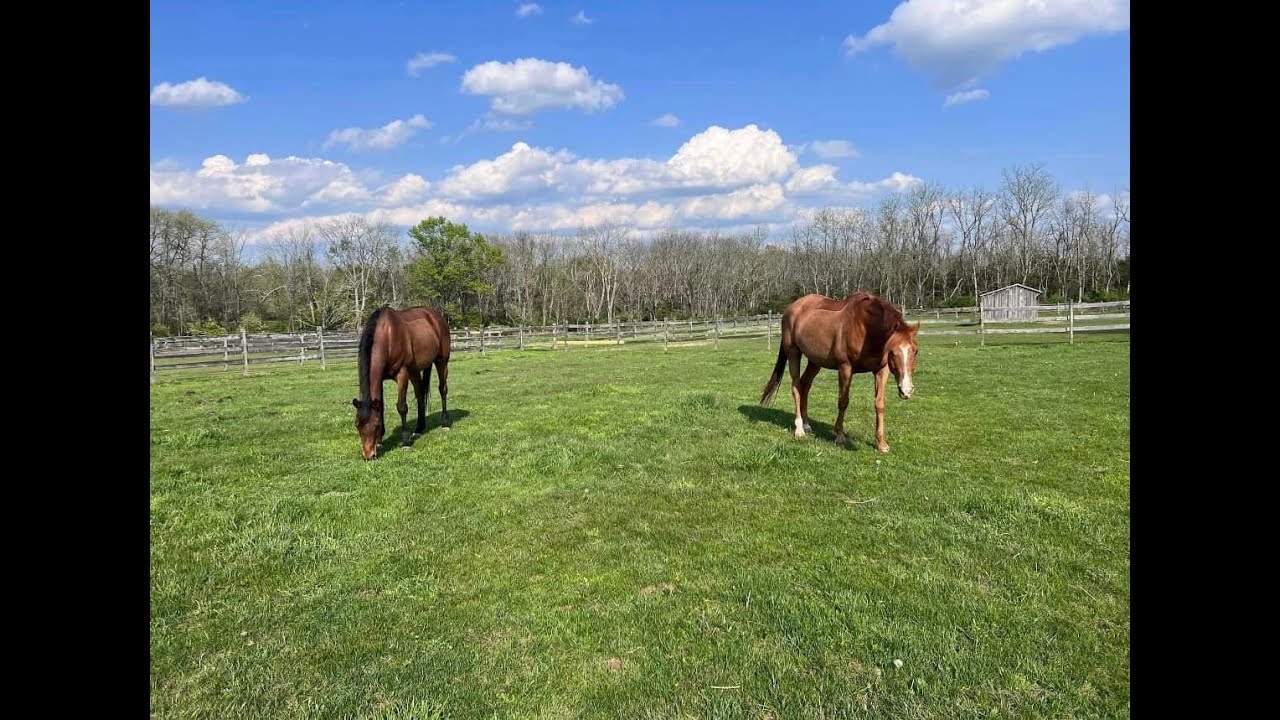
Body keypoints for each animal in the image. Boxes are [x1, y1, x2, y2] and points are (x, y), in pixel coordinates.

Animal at [351, 305, 452, 460]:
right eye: (357, 425)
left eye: (375, 425)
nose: (368, 455)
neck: (387, 336)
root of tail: (436, 316)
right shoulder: (381, 378)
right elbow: (381, 406)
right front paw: (380, 441)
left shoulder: (402, 374)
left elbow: (402, 407)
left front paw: (405, 442)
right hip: (415, 371)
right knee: (420, 393)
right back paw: (419, 429)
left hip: (442, 361)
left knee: (443, 389)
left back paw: (445, 424)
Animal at [759, 292, 919, 453]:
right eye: (892, 352)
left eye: (916, 351)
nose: (906, 391)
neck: (865, 328)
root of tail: (791, 308)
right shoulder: (845, 368)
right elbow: (843, 402)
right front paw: (840, 436)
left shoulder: (881, 370)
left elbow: (879, 403)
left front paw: (882, 444)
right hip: (793, 354)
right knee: (796, 387)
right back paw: (799, 429)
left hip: (815, 361)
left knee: (805, 385)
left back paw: (806, 424)